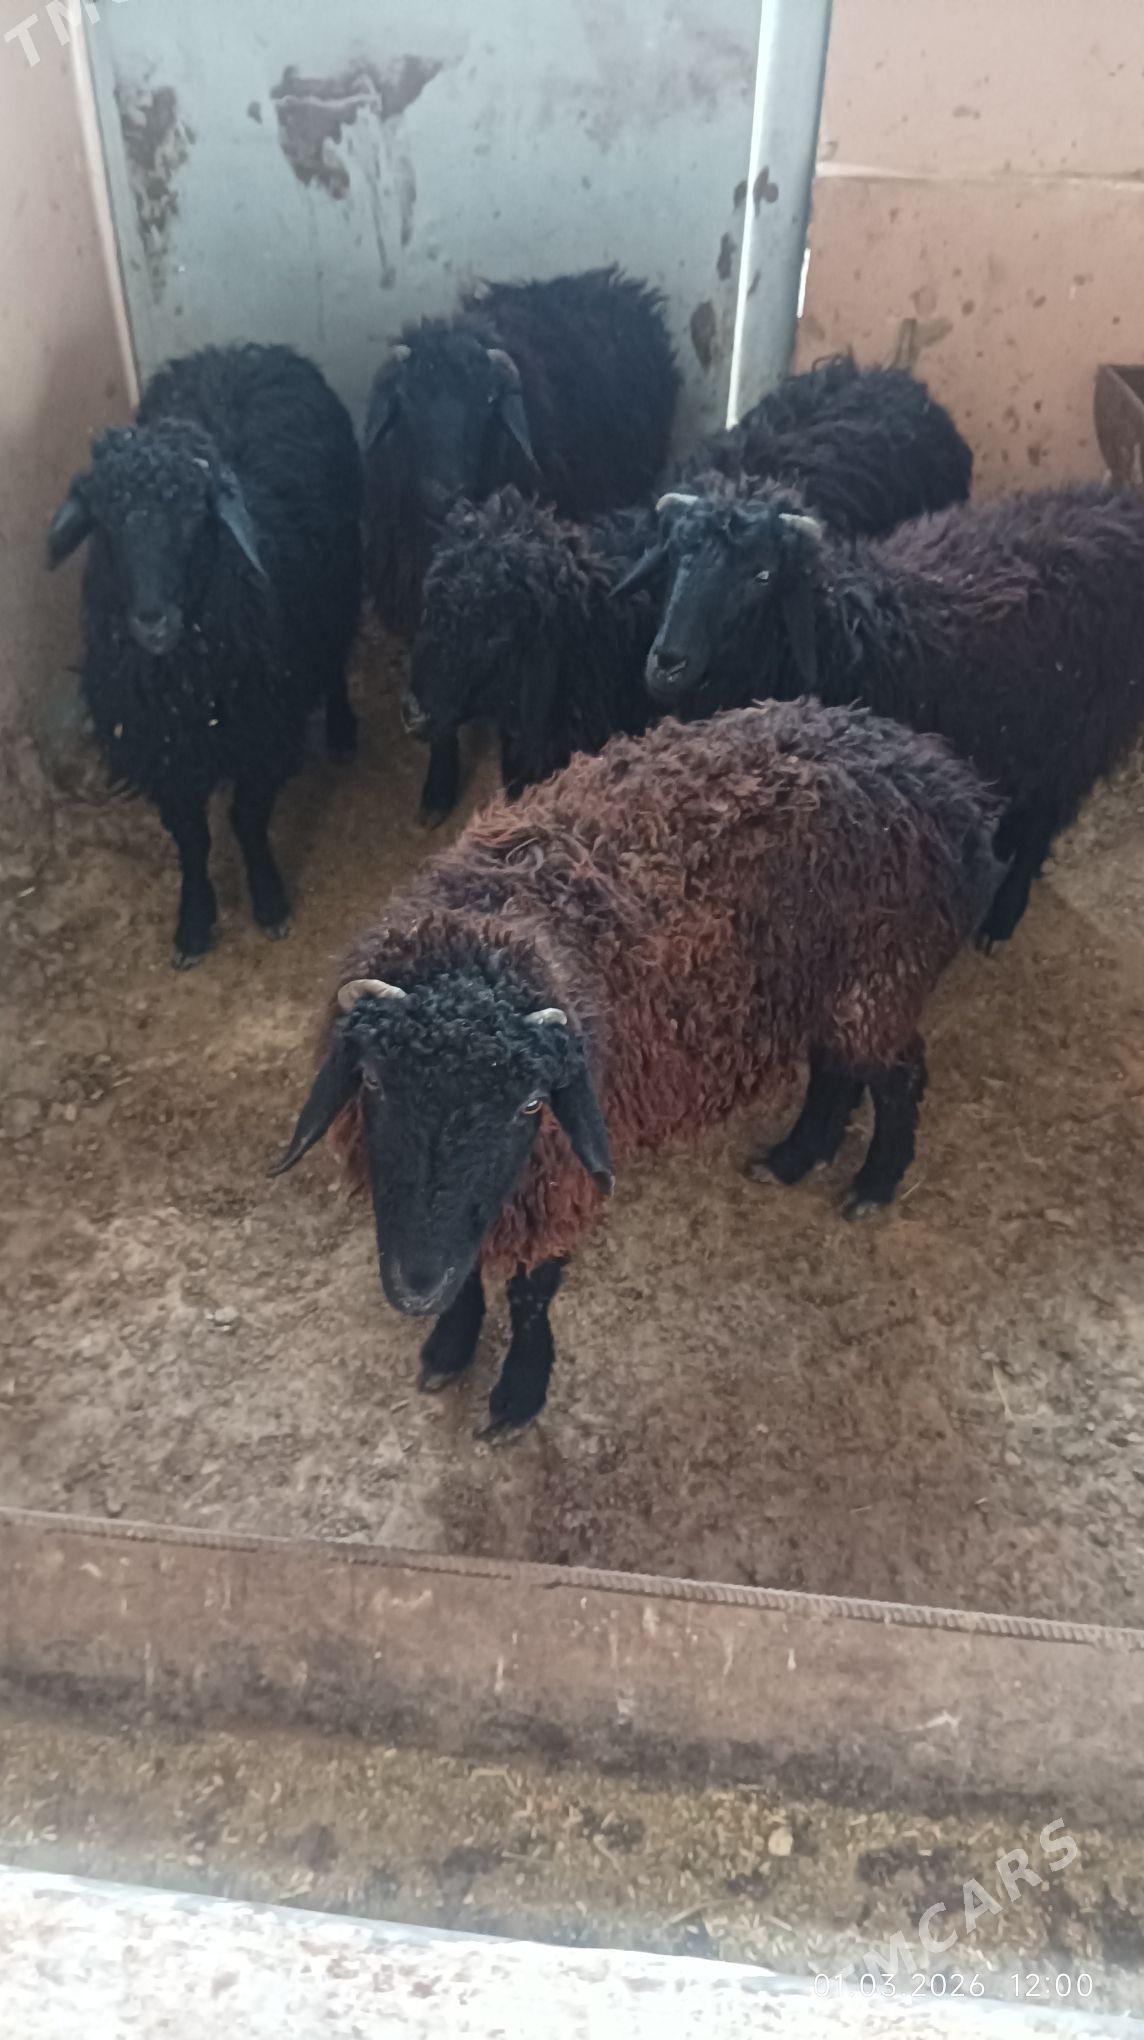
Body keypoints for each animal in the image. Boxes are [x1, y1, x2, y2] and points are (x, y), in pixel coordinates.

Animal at [47, 343, 362, 967]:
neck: (185, 684)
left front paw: (268, 899)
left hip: (337, 588)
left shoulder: (263, 734)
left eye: (195, 518)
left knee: (335, 657)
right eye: (107, 523)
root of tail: (240, 350)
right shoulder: (167, 755)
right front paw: (193, 921)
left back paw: (341, 728)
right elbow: (192, 839)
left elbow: (247, 820)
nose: (151, 618)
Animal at [274, 700, 1000, 1436]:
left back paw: (875, 1182)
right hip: (829, 982)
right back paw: (797, 1155)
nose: (415, 1285)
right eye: (372, 1083)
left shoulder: (557, 1174)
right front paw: (448, 1346)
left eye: (530, 1103)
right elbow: (471, 1271)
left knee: (900, 1077)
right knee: (837, 1070)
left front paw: (519, 1393)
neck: (490, 931)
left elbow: (531, 1290)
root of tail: (946, 778)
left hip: (881, 977)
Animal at [619, 481, 1144, 948]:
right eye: (675, 555)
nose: (667, 664)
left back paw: (1003, 914)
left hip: (1081, 735)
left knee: (1046, 818)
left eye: (762, 575)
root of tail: (1122, 508)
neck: (843, 636)